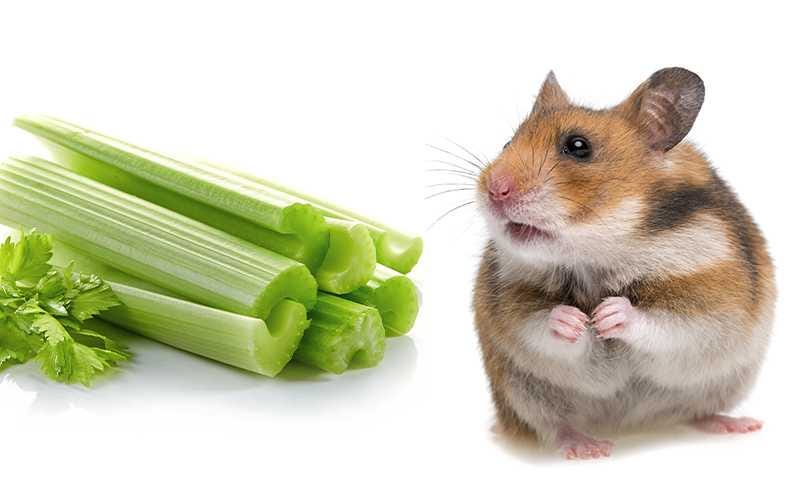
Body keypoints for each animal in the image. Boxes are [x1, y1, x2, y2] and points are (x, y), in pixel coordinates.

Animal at [476, 68, 776, 458]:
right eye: (507, 142)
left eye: (578, 146)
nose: (494, 189)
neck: (597, 255)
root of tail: (632, 426)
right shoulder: (511, 304)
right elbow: (538, 325)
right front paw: (574, 320)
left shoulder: (713, 303)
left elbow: (667, 324)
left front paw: (609, 314)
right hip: (521, 393)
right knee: (554, 427)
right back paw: (588, 447)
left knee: (696, 412)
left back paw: (740, 425)